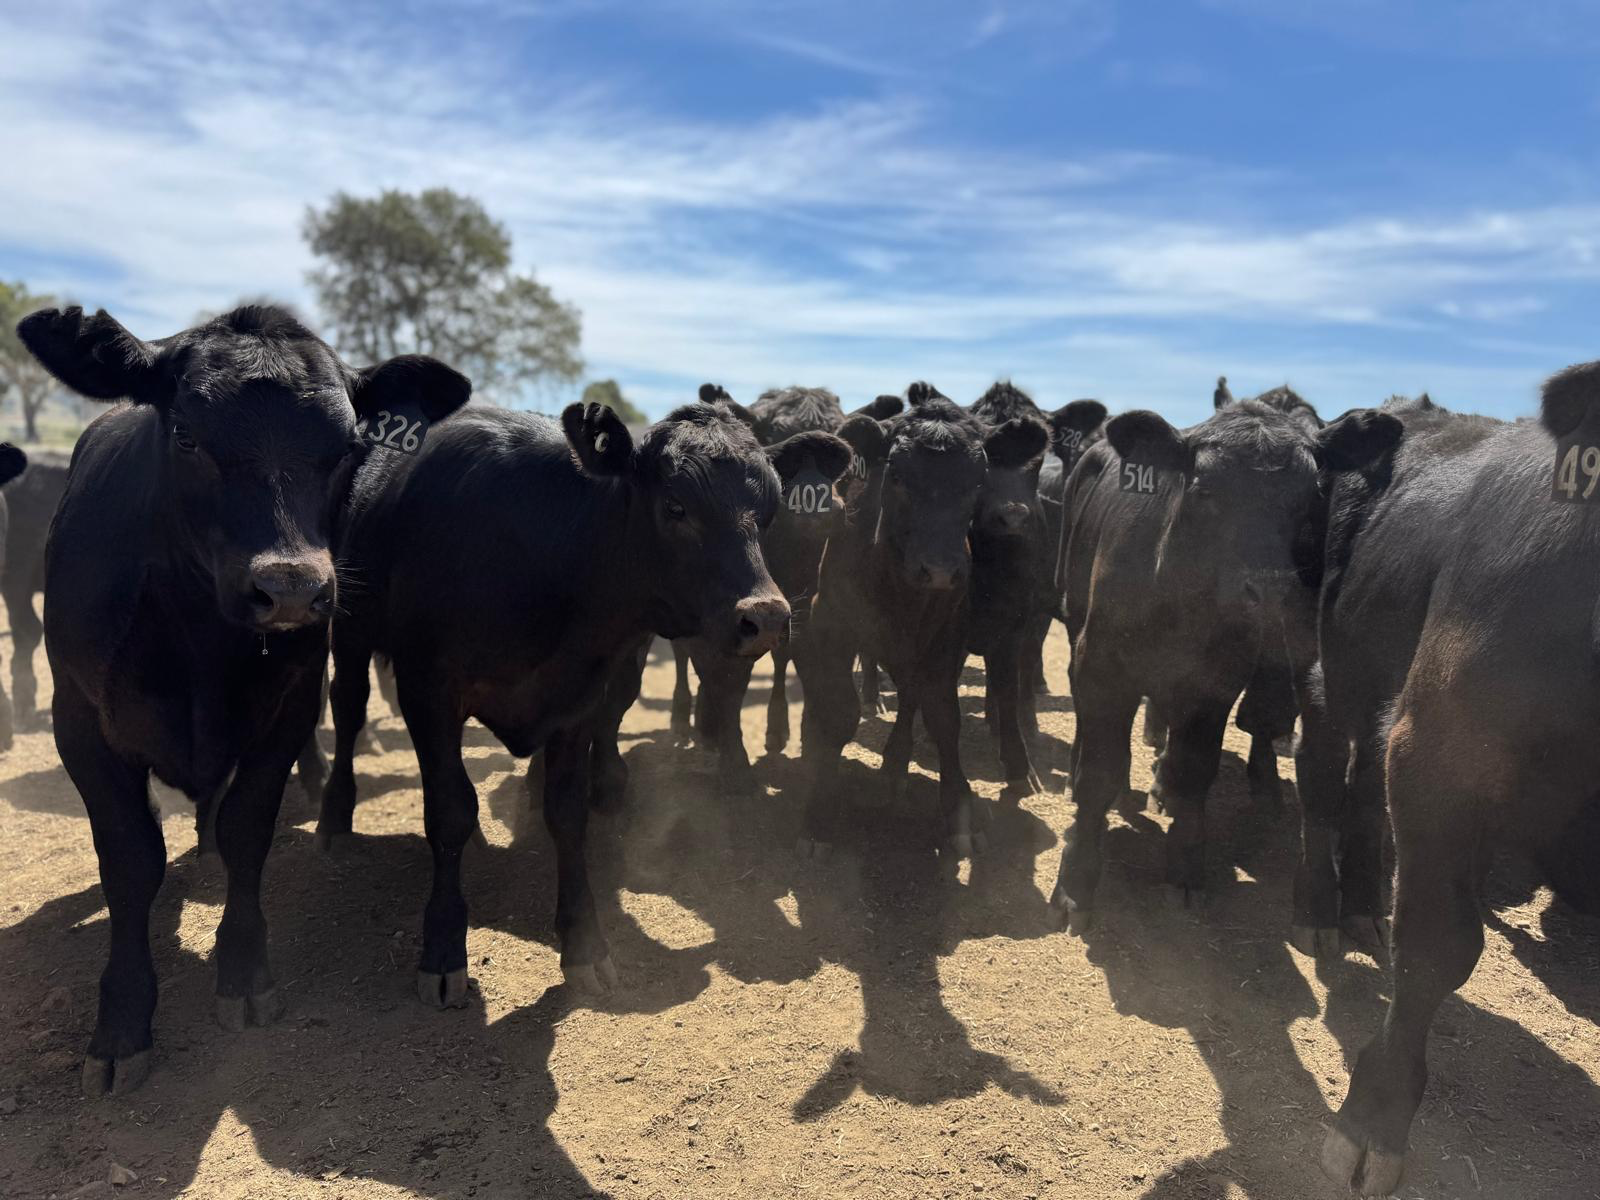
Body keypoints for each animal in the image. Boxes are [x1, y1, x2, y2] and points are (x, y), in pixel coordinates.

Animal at [16, 303, 470, 1096]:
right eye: (185, 435)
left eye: (349, 446)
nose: (291, 588)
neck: (196, 636)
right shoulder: (81, 722)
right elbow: (130, 859)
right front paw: (122, 1023)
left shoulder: (286, 712)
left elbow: (247, 831)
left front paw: (244, 973)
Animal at [317, 386, 843, 1001]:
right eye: (675, 506)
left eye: (767, 514)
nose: (767, 617)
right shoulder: (428, 689)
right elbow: (448, 810)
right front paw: (444, 947)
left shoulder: (578, 698)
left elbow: (567, 814)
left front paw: (585, 942)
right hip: (349, 629)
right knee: (348, 708)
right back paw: (334, 819)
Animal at [789, 383, 1028, 857]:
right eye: (896, 474)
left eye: (979, 479)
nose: (939, 570)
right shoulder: (831, 622)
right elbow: (839, 711)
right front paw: (818, 812)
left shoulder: (946, 636)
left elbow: (942, 715)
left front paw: (958, 808)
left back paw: (896, 761)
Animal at [1049, 399, 1401, 932]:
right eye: (1204, 490)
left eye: (1313, 495)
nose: (1271, 591)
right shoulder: (1101, 665)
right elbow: (1099, 774)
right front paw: (1076, 883)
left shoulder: (1215, 679)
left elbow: (1196, 770)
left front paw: (1184, 871)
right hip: (1073, 617)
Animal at [1298, 380, 1597, 1195]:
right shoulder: (1440, 752)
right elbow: (1440, 947)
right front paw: (1374, 1120)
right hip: (1342, 672)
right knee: (1322, 769)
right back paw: (1323, 910)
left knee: (1362, 796)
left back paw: (1363, 907)